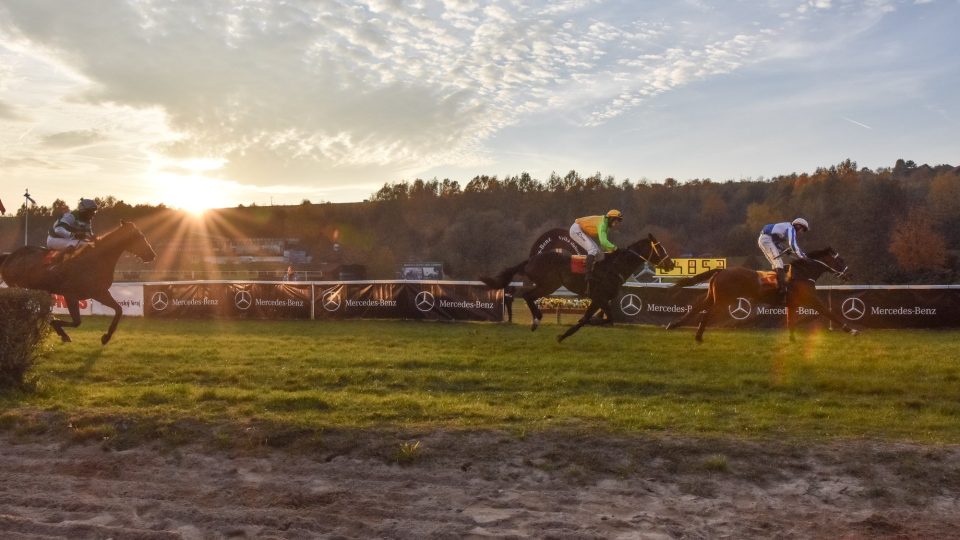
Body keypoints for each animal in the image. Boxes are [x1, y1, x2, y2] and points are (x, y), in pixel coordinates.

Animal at [0, 220, 156, 344]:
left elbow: (119, 310)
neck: (95, 260)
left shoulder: (99, 292)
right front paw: (59, 329)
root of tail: (10, 256)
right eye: (138, 236)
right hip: (21, 289)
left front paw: (106, 336)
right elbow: (76, 322)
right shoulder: (70, 295)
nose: (152, 255)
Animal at [480, 232, 676, 342]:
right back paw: (536, 320)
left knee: (529, 296)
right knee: (526, 295)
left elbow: (589, 319)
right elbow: (606, 319)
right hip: (549, 284)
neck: (615, 266)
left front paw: (563, 335)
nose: (671, 264)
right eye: (660, 248)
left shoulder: (598, 299)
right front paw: (590, 322)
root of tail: (530, 260)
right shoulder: (600, 297)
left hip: (547, 285)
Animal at [664, 248, 860, 342]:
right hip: (723, 300)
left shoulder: (793, 304)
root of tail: (722, 270)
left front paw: (792, 340)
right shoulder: (812, 300)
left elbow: (790, 321)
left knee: (698, 307)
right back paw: (697, 336)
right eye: (840, 260)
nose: (849, 275)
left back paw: (674, 325)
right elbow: (830, 313)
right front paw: (852, 330)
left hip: (713, 296)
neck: (803, 274)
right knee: (707, 313)